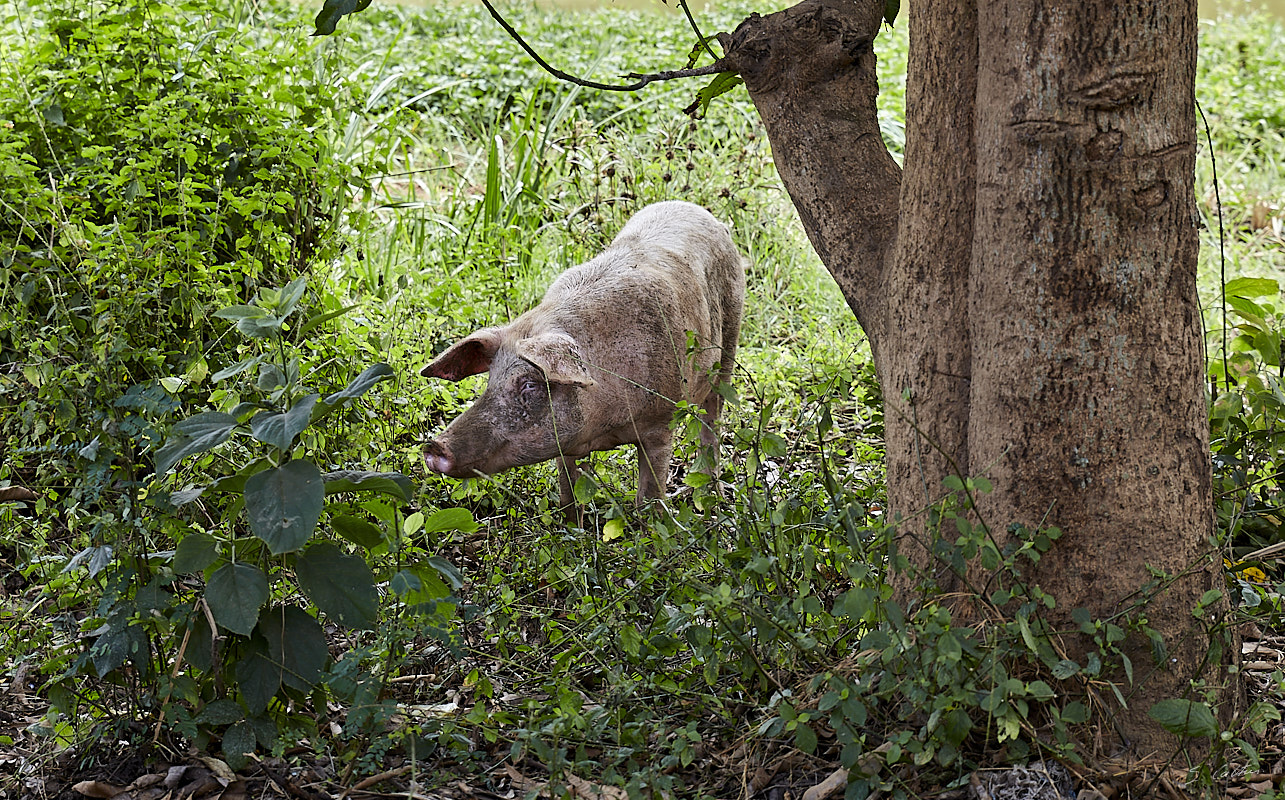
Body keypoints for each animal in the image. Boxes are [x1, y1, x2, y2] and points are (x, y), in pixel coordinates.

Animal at [416, 202, 750, 511]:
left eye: (529, 384)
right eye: (489, 381)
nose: (434, 446)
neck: (604, 423)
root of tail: (699, 211)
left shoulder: (661, 420)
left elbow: (650, 497)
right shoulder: (566, 446)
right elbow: (568, 498)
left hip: (730, 338)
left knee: (713, 419)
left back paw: (714, 498)